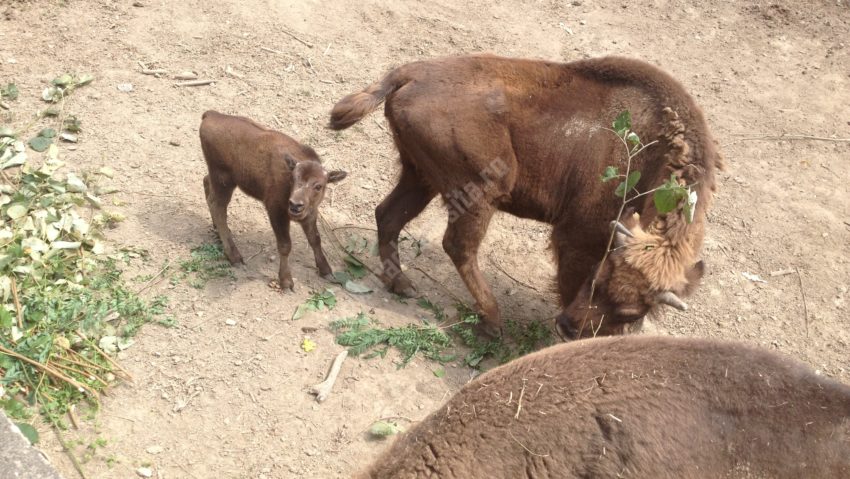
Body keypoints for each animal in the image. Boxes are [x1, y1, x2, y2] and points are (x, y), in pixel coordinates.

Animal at [197, 111, 346, 292]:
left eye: (319, 186)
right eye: (293, 179)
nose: (295, 205)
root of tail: (212, 115)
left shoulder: (310, 214)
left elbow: (315, 239)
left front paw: (326, 271)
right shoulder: (276, 211)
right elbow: (285, 245)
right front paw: (286, 282)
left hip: (220, 179)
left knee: (206, 184)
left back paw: (218, 232)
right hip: (224, 181)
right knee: (217, 207)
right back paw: (235, 257)